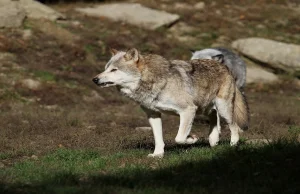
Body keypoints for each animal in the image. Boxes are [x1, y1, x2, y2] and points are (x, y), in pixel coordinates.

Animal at [93, 48, 248, 158]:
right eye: (106, 68)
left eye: (114, 70)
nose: (95, 79)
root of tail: (224, 66)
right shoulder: (153, 115)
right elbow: (158, 138)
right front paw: (157, 155)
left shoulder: (188, 110)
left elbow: (179, 138)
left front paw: (192, 139)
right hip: (205, 108)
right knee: (214, 118)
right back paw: (213, 140)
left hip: (222, 109)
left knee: (233, 125)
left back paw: (233, 144)